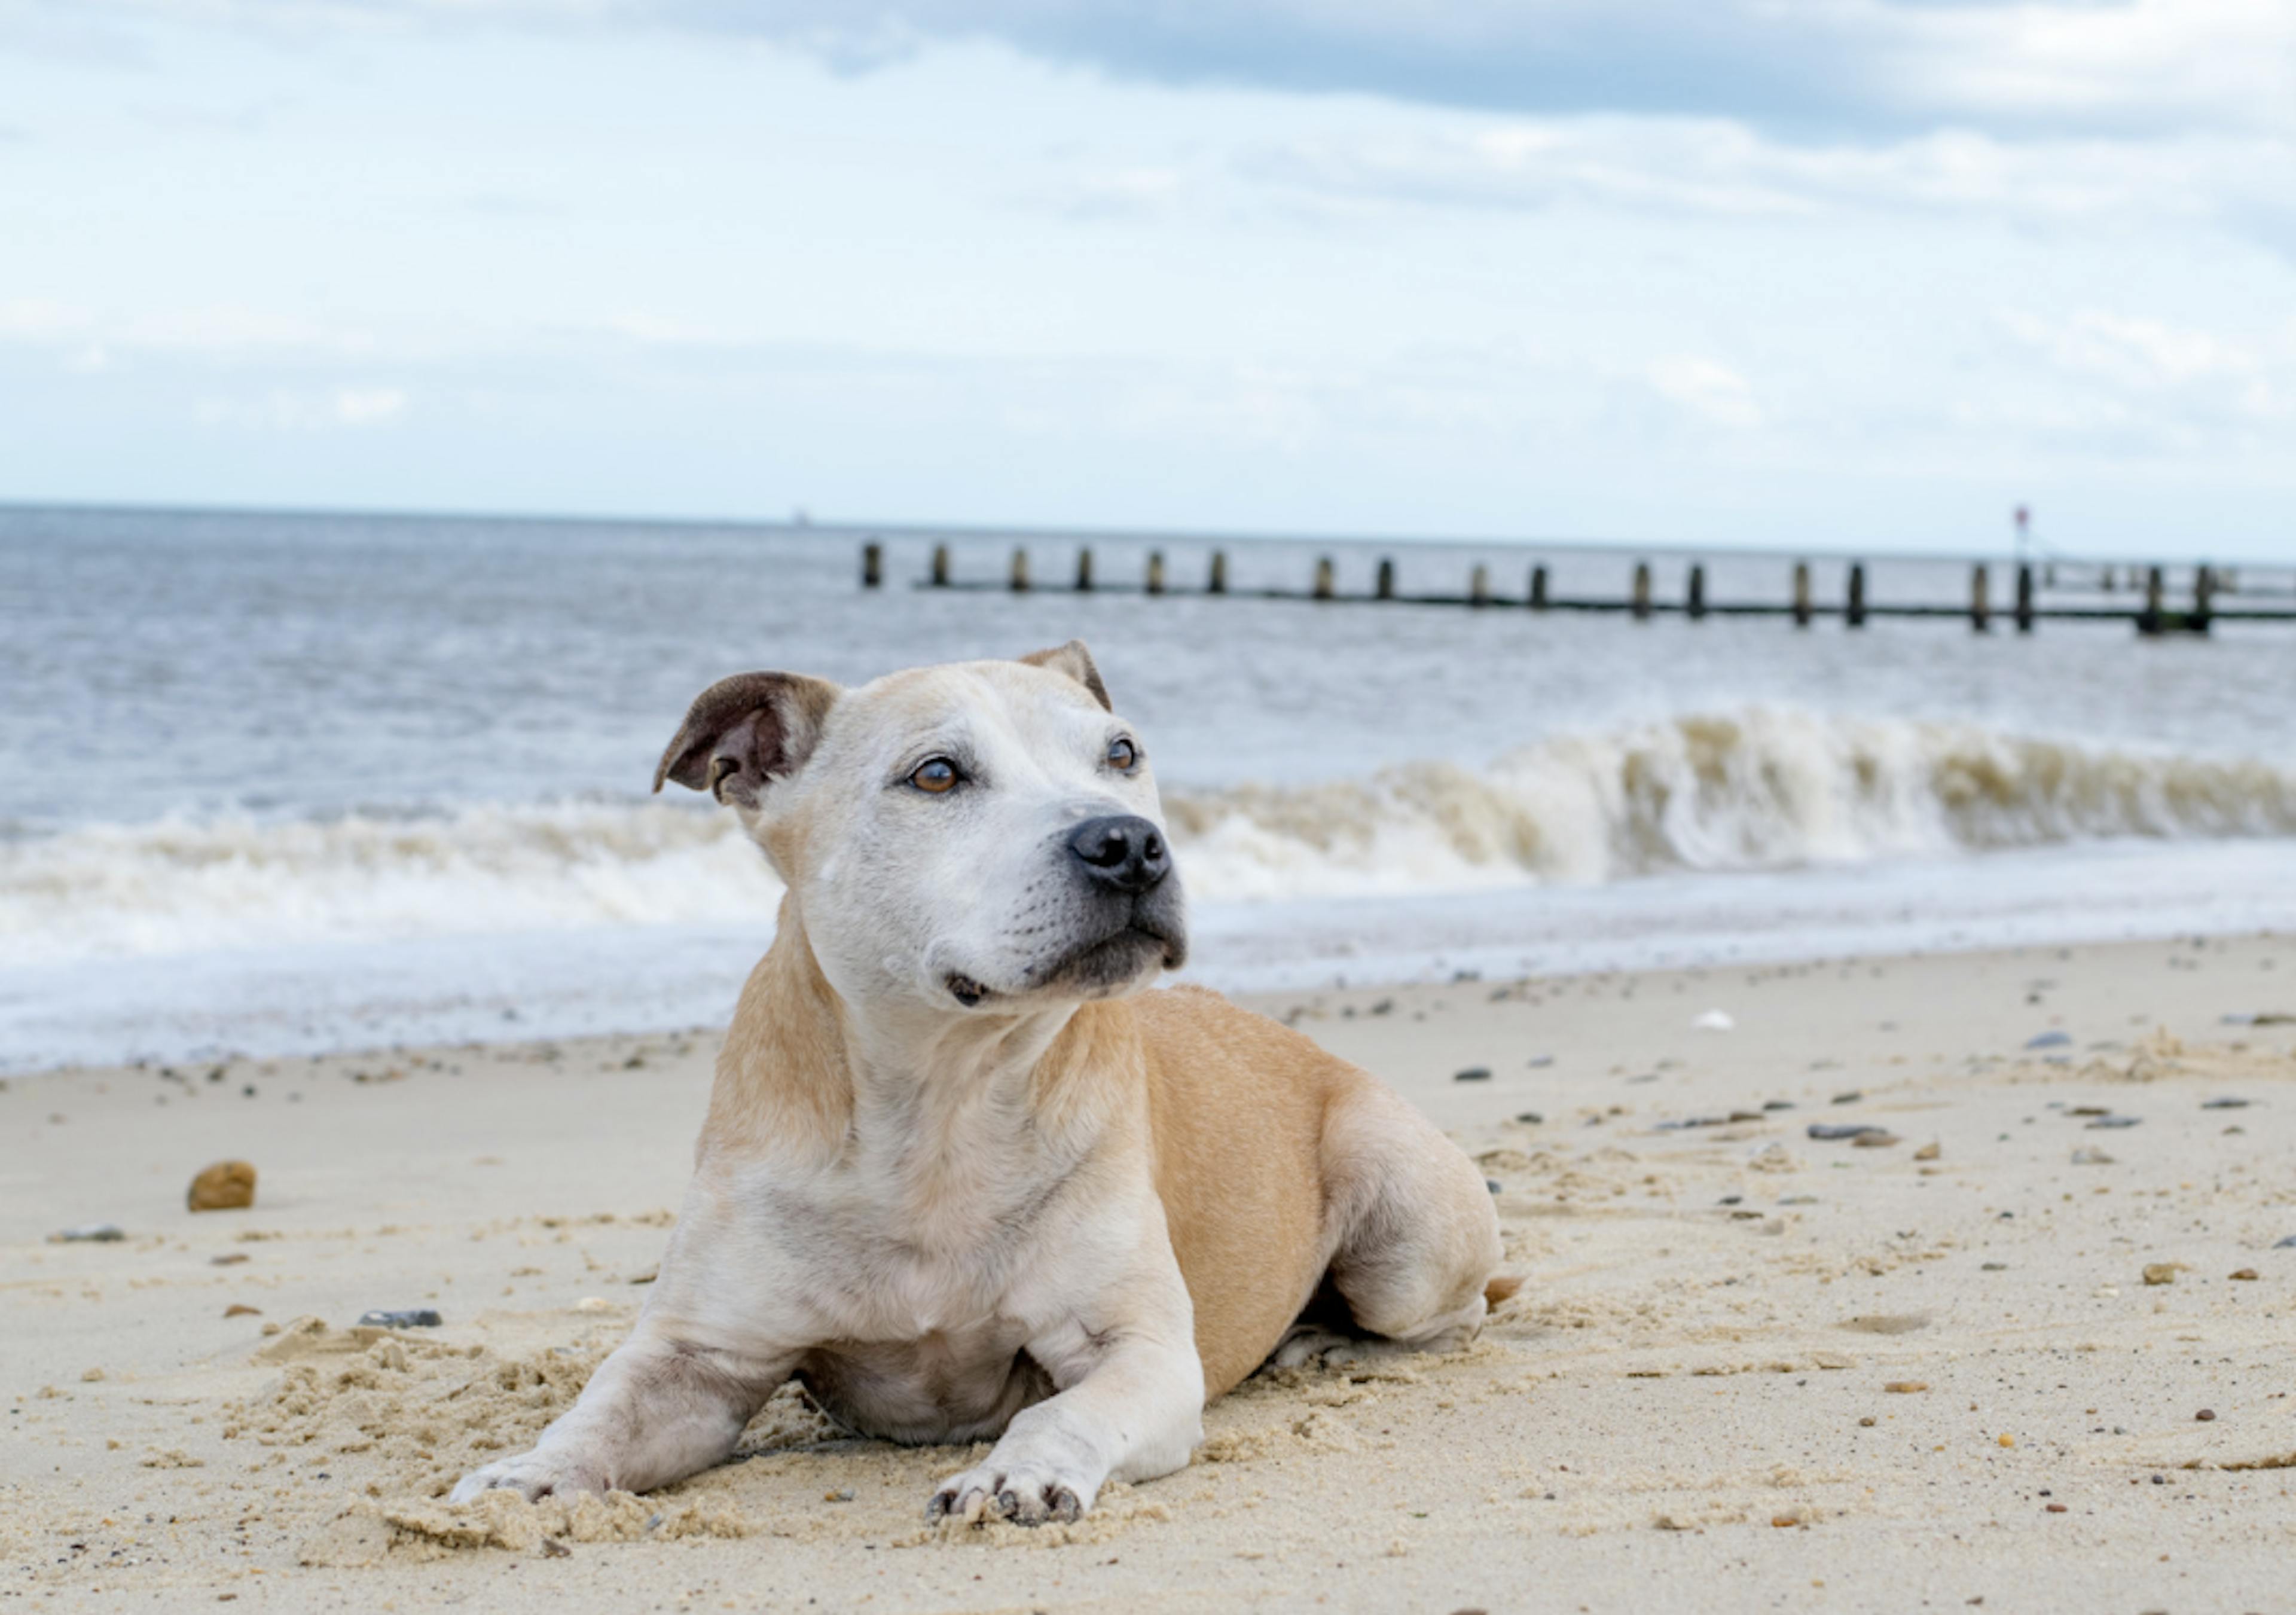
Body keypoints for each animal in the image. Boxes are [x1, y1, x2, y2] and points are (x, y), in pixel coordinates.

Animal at [454, 643, 1515, 1525]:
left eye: (1122, 753)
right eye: (937, 774)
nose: (1129, 843)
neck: (945, 1098)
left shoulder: (1140, 1351)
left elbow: (1062, 1413)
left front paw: (1017, 1471)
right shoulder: (699, 1356)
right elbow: (598, 1415)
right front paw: (527, 1473)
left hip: (1402, 1220)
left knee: (1455, 1315)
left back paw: (1328, 1340)